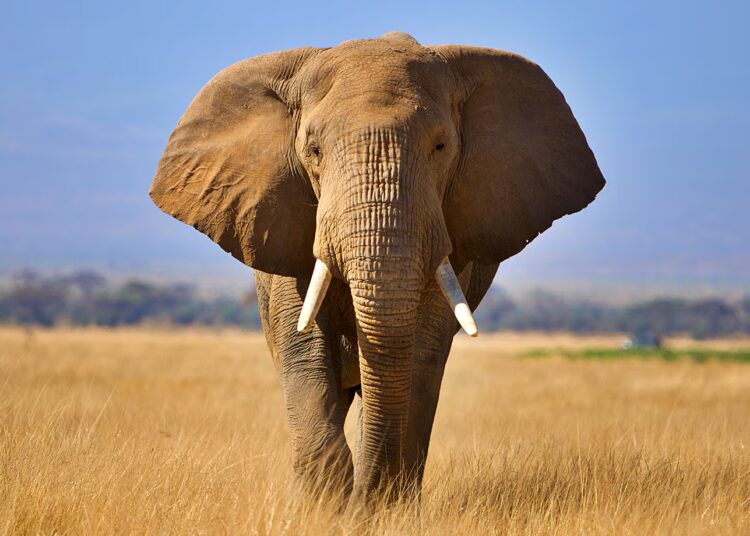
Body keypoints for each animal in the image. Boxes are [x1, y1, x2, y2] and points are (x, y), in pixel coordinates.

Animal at [149, 31, 605, 507]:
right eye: (313, 150)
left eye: (441, 147)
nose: (362, 502)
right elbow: (305, 347)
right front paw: (321, 508)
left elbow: (419, 351)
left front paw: (380, 509)